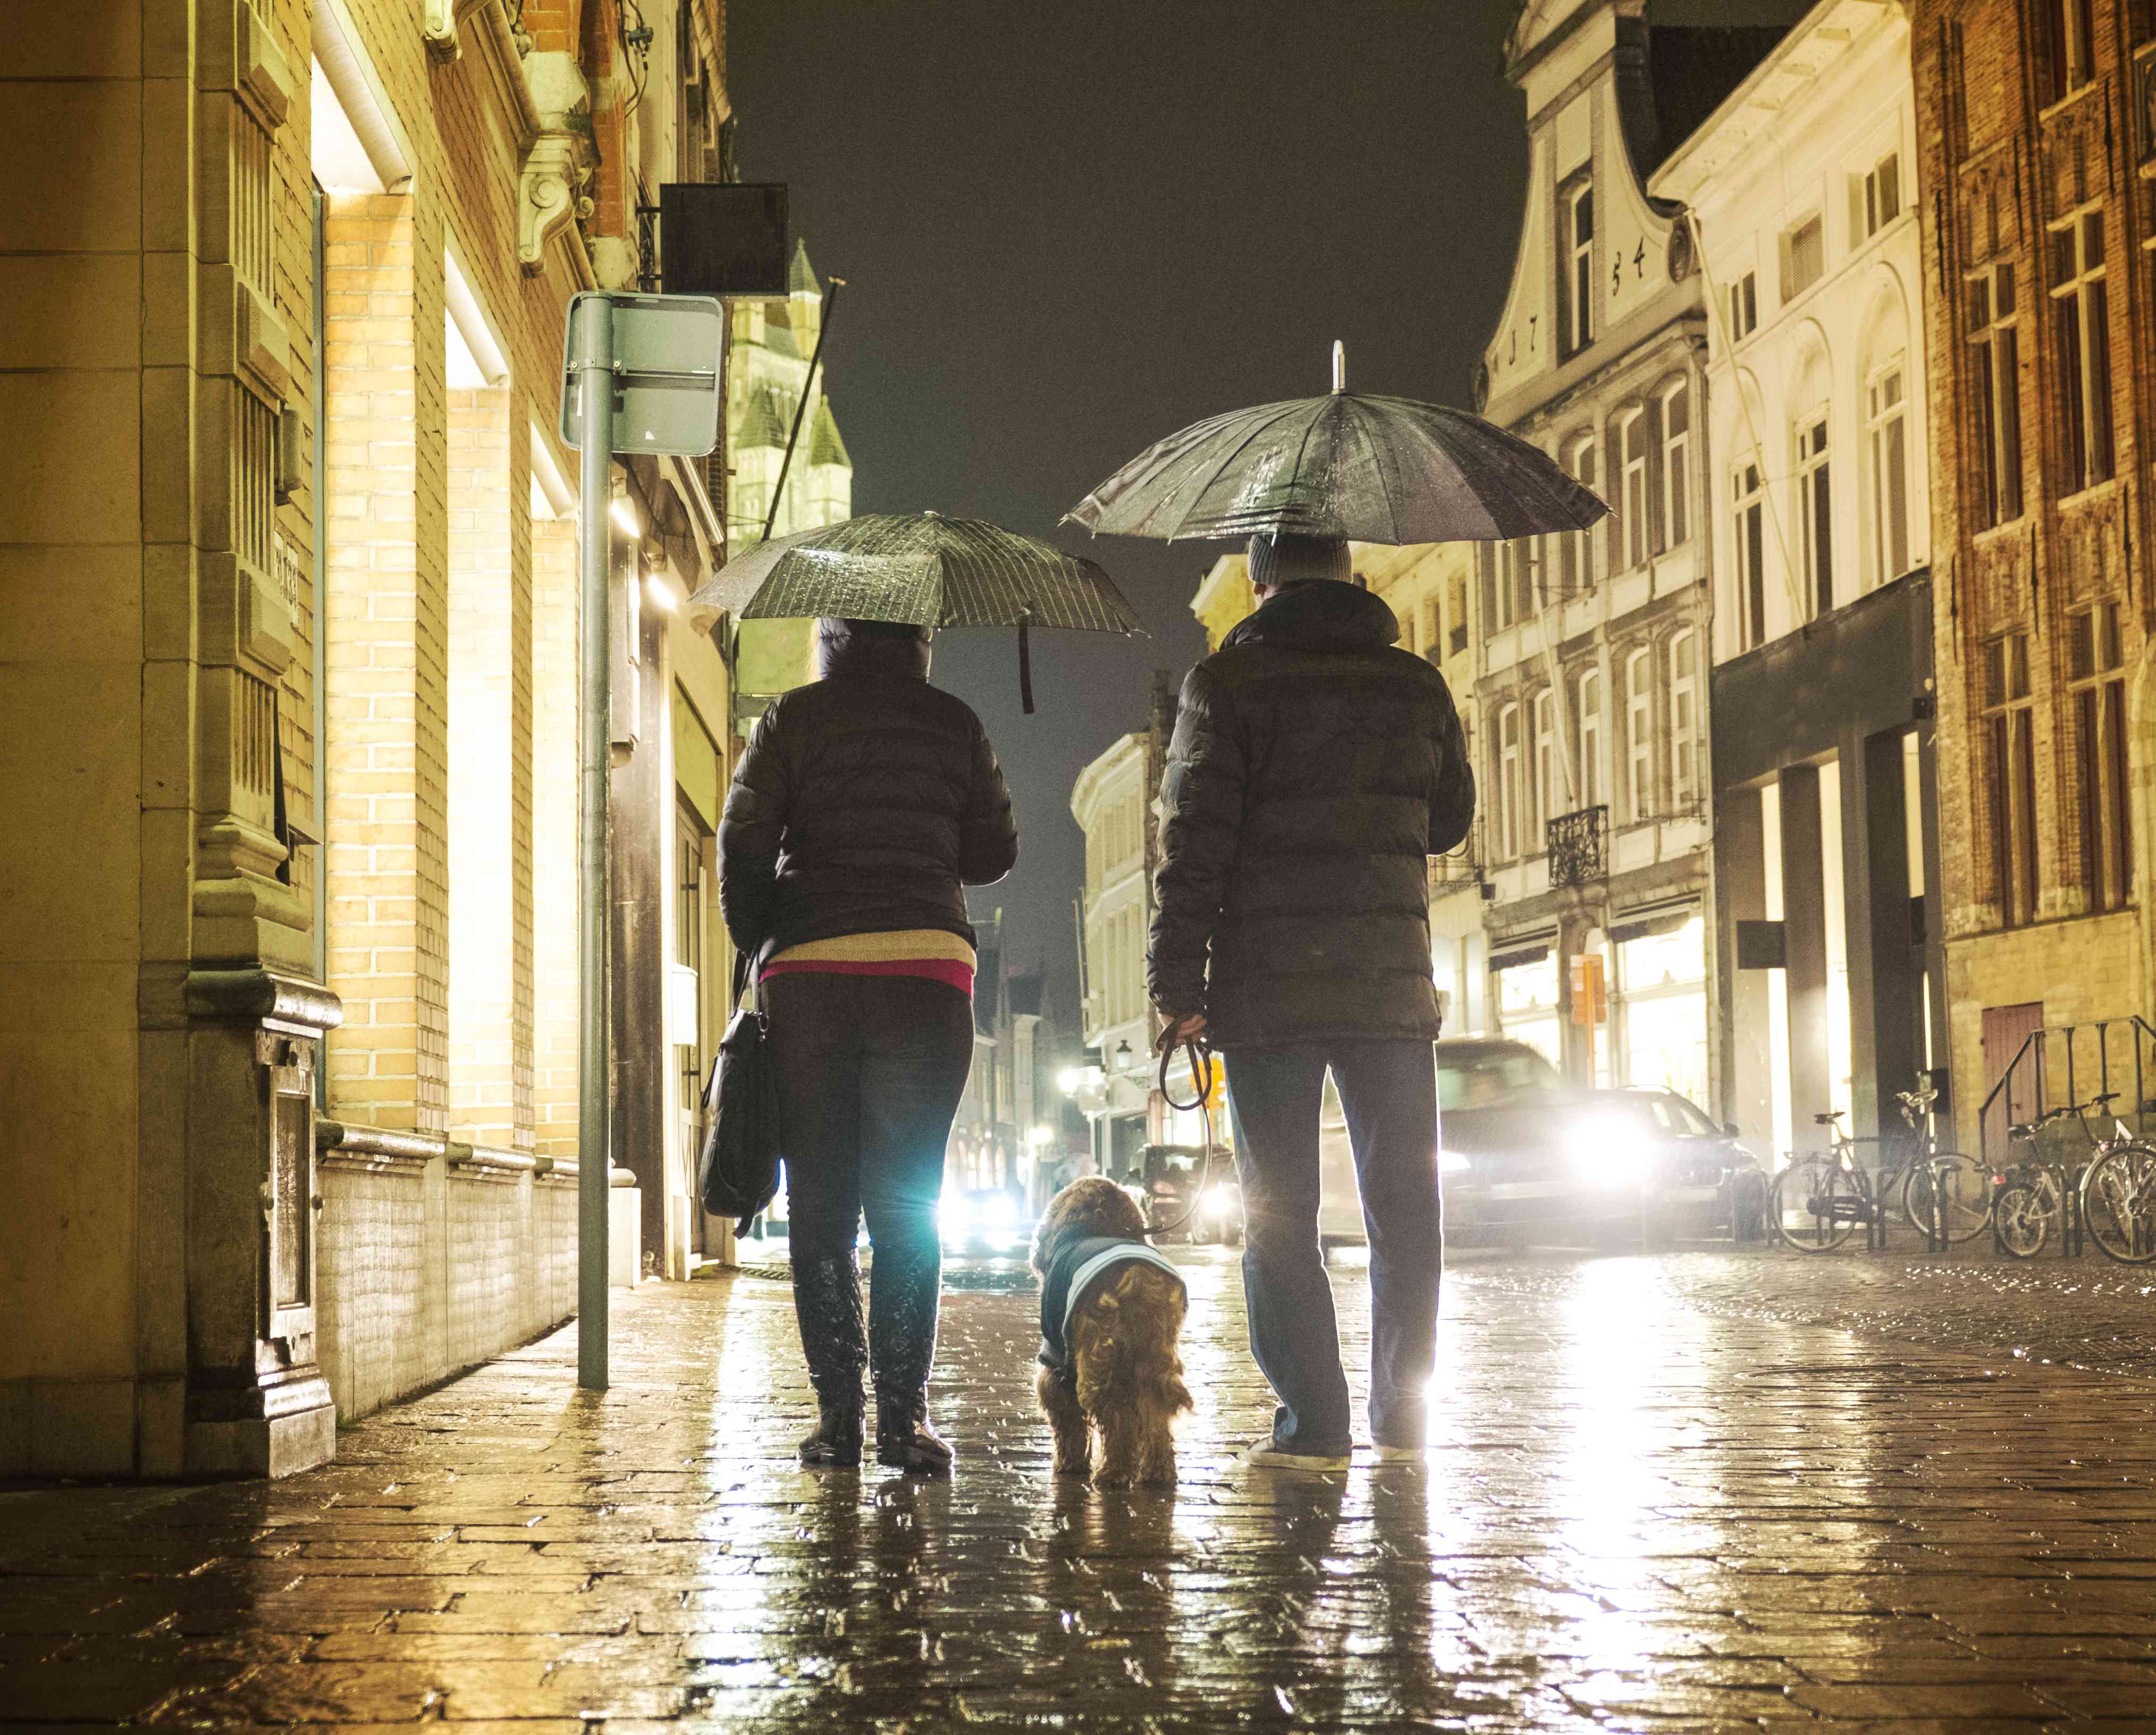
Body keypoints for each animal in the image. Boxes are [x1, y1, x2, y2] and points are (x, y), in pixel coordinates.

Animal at [1030, 1181, 1199, 1491]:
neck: (1097, 1225)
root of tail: (1136, 1280)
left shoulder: (1055, 1361)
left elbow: (1068, 1423)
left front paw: (1069, 1464)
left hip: (1100, 1363)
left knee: (1118, 1419)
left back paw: (1113, 1474)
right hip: (1152, 1361)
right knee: (1156, 1416)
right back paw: (1157, 1474)